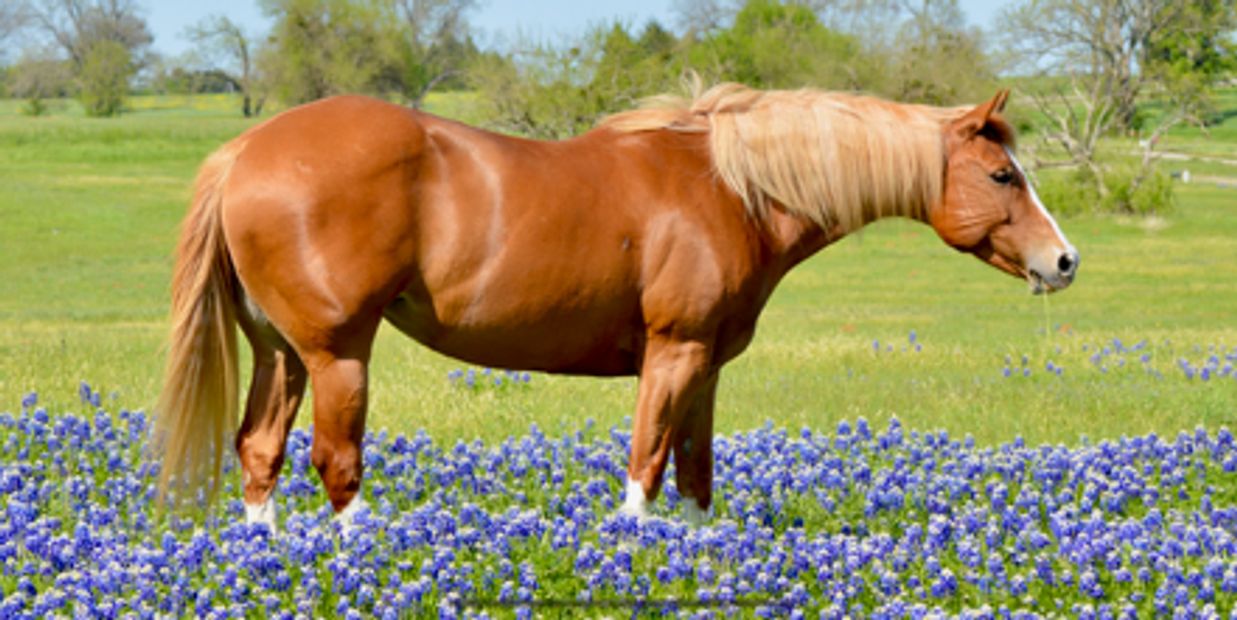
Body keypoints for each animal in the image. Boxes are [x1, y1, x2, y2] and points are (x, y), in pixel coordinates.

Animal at [156, 82, 1078, 529]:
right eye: (1002, 175)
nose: (1064, 261)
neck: (731, 189)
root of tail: (245, 150)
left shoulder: (705, 364)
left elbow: (696, 476)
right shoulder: (672, 352)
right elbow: (645, 467)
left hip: (280, 354)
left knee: (259, 453)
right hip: (337, 354)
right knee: (336, 466)